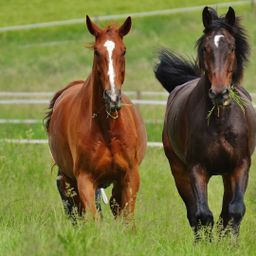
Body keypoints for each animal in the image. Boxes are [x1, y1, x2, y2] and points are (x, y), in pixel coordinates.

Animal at [45, 16, 147, 220]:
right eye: (96, 52)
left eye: (124, 50)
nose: (112, 98)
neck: (107, 129)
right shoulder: (85, 179)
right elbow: (93, 218)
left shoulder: (130, 177)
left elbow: (127, 218)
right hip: (69, 180)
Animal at [154, 6, 256, 238]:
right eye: (205, 48)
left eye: (232, 47)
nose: (219, 93)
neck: (220, 122)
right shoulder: (196, 169)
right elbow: (202, 215)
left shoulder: (240, 165)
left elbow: (235, 210)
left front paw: (231, 243)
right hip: (179, 171)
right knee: (193, 213)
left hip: (227, 174)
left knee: (225, 212)